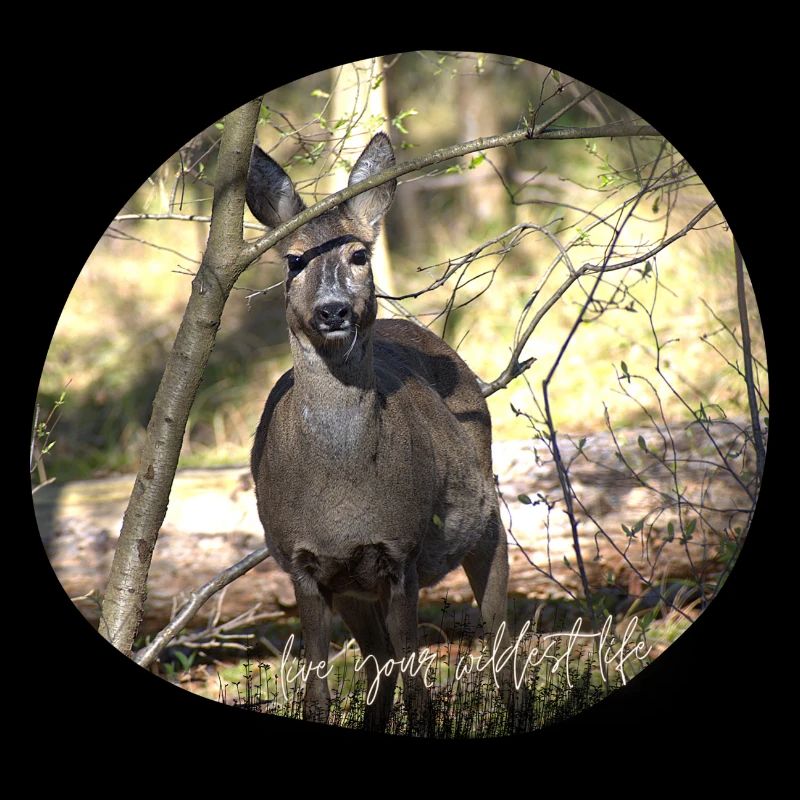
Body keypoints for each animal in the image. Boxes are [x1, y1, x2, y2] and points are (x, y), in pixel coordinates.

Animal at [246, 132, 515, 732]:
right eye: (294, 259)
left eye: (359, 254)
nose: (332, 311)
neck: (344, 493)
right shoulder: (302, 562)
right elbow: (320, 692)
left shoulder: (402, 551)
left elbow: (420, 689)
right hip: (353, 590)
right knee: (379, 664)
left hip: (487, 521)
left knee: (501, 643)